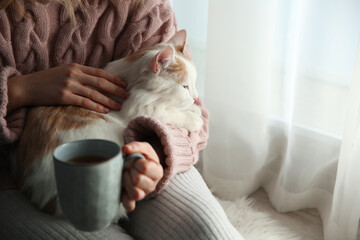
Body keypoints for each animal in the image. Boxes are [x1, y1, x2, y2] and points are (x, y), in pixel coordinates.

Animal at [13, 29, 202, 216]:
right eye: (184, 86)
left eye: (194, 83)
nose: (195, 98)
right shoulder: (137, 108)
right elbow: (164, 112)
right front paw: (194, 117)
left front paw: (193, 109)